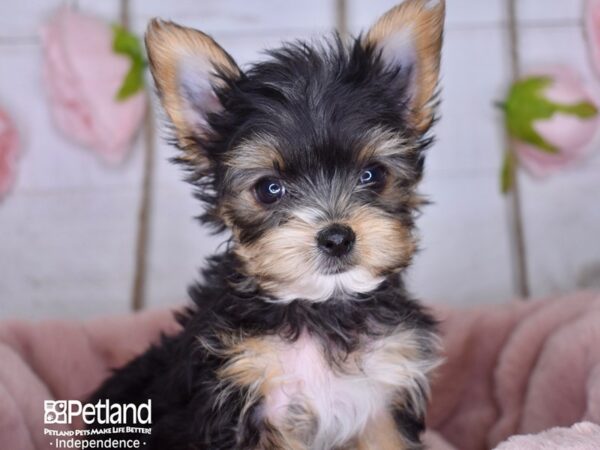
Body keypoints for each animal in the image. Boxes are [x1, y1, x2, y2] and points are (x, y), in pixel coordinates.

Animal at [89, 1, 446, 448]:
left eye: (373, 175)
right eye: (269, 189)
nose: (337, 237)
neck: (320, 307)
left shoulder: (382, 399)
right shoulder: (247, 400)